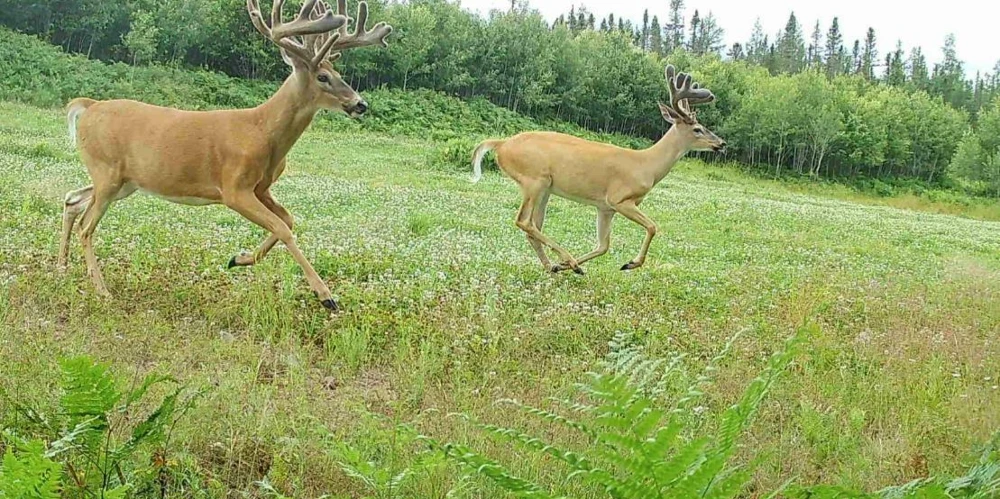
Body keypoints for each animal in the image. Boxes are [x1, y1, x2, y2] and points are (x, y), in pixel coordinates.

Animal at [57, 0, 392, 311]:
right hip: (107, 171)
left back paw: (62, 267)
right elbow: (282, 228)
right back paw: (102, 290)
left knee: (72, 200)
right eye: (323, 77)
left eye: (338, 72)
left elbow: (288, 219)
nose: (360, 104)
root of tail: (89, 106)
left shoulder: (261, 187)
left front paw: (239, 258)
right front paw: (325, 295)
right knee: (87, 226)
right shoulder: (234, 188)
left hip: (124, 181)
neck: (261, 131)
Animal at [470, 65, 725, 275]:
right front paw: (630, 263)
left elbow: (603, 246)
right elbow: (653, 227)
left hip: (546, 189)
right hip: (534, 179)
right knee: (524, 221)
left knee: (533, 227)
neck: (647, 165)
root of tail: (502, 144)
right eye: (698, 129)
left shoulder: (605, 208)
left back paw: (556, 266)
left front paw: (568, 266)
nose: (721, 143)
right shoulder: (620, 199)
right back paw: (568, 260)